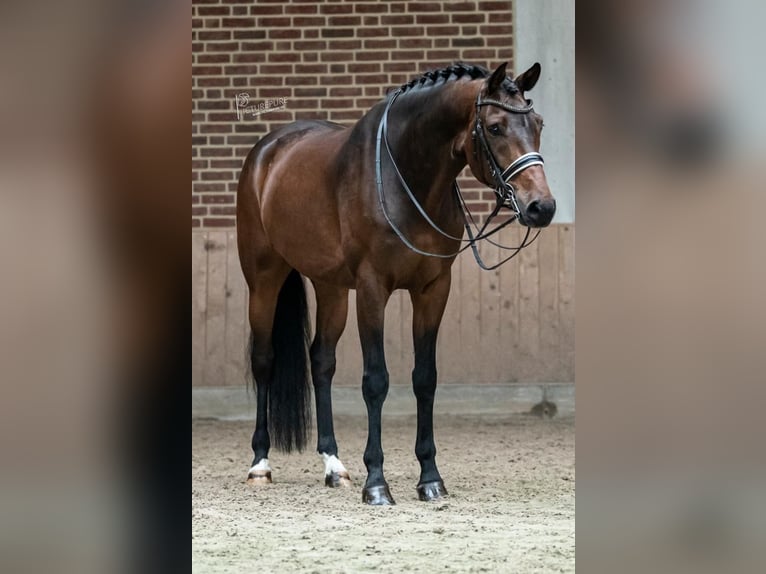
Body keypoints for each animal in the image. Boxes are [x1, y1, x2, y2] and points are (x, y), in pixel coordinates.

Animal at [237, 60, 556, 506]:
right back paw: (260, 464)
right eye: (494, 127)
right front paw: (377, 483)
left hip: (332, 288)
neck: (404, 174)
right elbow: (376, 381)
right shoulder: (373, 289)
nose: (542, 207)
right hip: (264, 278)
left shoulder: (433, 290)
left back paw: (334, 466)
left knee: (322, 362)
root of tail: (267, 151)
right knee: (264, 360)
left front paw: (430, 479)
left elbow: (425, 379)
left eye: (538, 123)